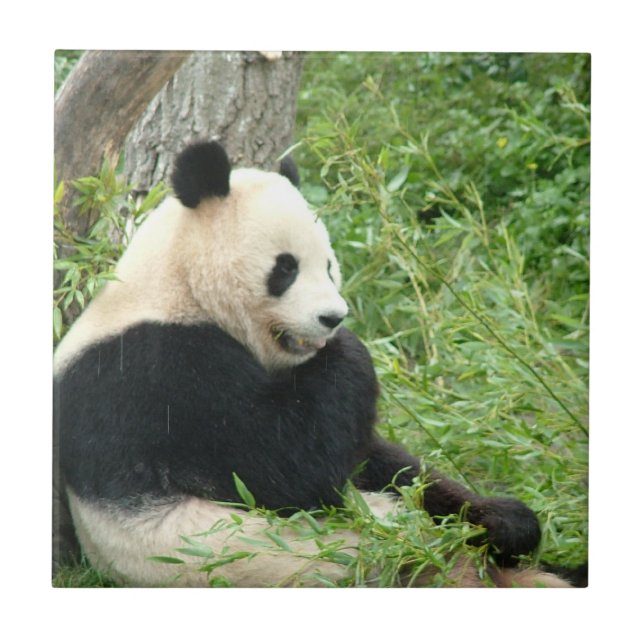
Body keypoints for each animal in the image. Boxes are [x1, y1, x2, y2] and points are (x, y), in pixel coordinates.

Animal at [53, 140, 569, 588]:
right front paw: (348, 350)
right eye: (285, 267)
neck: (176, 287)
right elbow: (285, 466)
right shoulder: (160, 376)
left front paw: (504, 519)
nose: (333, 317)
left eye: (329, 265)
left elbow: (383, 462)